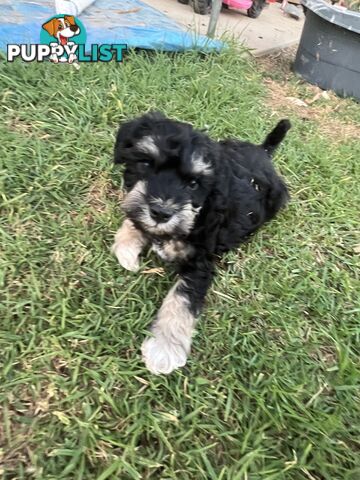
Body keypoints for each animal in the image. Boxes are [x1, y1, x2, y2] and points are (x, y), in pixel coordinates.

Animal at [111, 111, 292, 376]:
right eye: (145, 163)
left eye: (194, 184)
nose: (161, 213)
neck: (202, 210)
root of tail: (264, 152)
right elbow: (136, 222)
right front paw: (127, 249)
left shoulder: (200, 264)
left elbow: (181, 299)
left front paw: (163, 349)